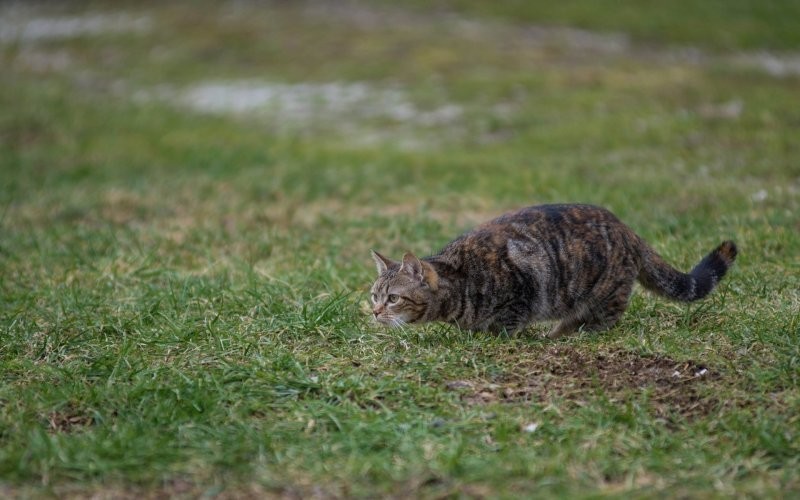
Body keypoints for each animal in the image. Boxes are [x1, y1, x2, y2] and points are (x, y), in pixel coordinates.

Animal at [368, 204, 736, 340]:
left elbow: (507, 322)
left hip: (602, 293)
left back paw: (561, 334)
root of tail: (626, 229)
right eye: (374, 296)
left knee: (602, 318)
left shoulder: (523, 285)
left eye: (393, 299)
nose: (373, 312)